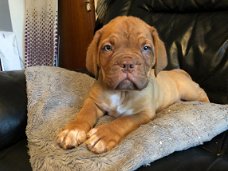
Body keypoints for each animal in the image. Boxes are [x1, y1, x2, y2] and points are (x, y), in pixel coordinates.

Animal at [56, 16, 208, 154]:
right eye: (107, 48)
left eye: (146, 48)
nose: (127, 63)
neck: (121, 92)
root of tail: (178, 71)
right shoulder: (93, 102)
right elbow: (84, 113)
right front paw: (73, 130)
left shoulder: (143, 113)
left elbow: (123, 121)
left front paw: (103, 135)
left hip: (188, 91)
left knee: (200, 91)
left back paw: (204, 103)